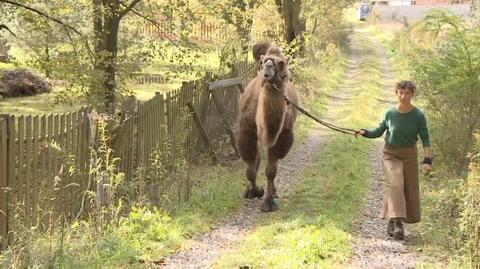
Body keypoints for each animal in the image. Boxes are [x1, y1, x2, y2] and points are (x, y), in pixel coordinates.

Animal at [235, 42, 296, 210]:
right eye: (263, 62)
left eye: (281, 63)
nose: (267, 69)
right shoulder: (247, 132)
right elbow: (250, 169)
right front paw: (255, 191)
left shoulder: (283, 135)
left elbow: (271, 171)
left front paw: (268, 202)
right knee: (255, 161)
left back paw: (273, 192)